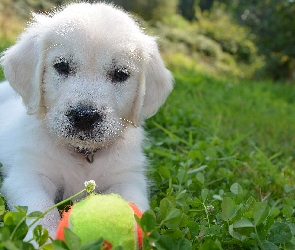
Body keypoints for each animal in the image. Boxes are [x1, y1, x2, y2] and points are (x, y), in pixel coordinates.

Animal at [0, 2, 173, 240]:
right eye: (62, 66)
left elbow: (132, 207)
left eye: (121, 74)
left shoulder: (127, 179)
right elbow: (41, 210)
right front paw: (45, 239)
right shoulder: (29, 174)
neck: (83, 154)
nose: (84, 116)